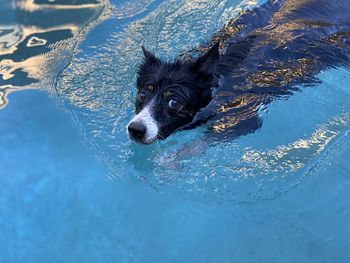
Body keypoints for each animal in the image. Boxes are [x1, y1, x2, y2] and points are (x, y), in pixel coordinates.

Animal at [128, 0, 350, 144]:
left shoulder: (242, 116)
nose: (135, 129)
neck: (218, 81)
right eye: (142, 94)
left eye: (174, 102)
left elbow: (198, 143)